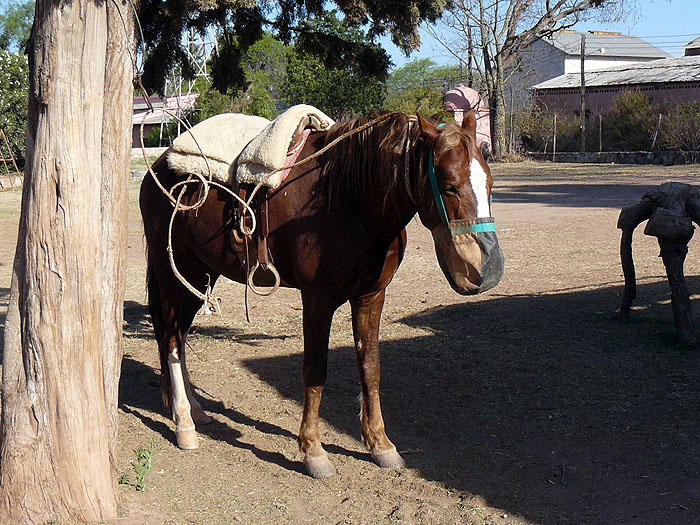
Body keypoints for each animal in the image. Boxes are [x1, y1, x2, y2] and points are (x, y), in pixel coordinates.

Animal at [141, 110, 504, 478]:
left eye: (490, 184)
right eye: (449, 186)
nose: (488, 268)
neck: (348, 200)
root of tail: (158, 167)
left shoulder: (371, 297)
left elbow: (370, 368)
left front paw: (380, 444)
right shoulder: (317, 300)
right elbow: (315, 371)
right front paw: (313, 450)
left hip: (200, 274)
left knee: (179, 334)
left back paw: (193, 408)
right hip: (172, 272)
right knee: (171, 340)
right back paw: (184, 424)